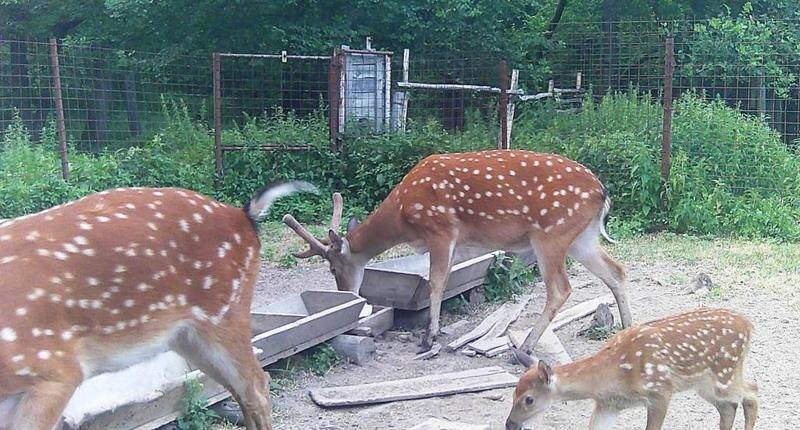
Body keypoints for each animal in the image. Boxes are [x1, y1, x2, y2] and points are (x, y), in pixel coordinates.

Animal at [0, 181, 318, 430]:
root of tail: (243, 215)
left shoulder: (55, 370)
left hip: (225, 312)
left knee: (256, 385)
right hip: (186, 337)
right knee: (241, 389)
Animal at [282, 149, 632, 352]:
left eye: (333, 268)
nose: (348, 294)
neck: (404, 213)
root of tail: (602, 192)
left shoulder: (440, 228)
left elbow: (435, 281)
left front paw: (429, 338)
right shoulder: (456, 241)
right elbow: (446, 278)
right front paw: (437, 330)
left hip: (551, 234)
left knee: (560, 288)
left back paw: (525, 347)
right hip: (582, 238)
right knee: (617, 271)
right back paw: (627, 328)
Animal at [504, 310, 760, 430]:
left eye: (529, 399)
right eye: (512, 393)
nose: (510, 424)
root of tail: (749, 325)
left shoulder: (660, 391)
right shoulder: (608, 405)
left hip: (723, 373)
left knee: (752, 392)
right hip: (705, 384)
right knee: (730, 406)